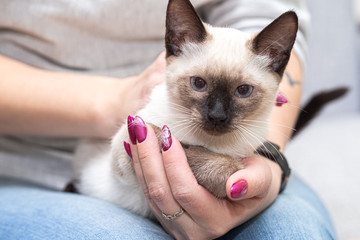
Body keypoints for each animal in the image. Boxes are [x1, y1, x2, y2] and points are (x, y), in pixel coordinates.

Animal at [74, 0, 298, 218]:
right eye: (198, 83)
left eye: (243, 90)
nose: (217, 116)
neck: (209, 144)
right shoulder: (123, 150)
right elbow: (162, 137)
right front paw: (172, 142)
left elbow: (228, 167)